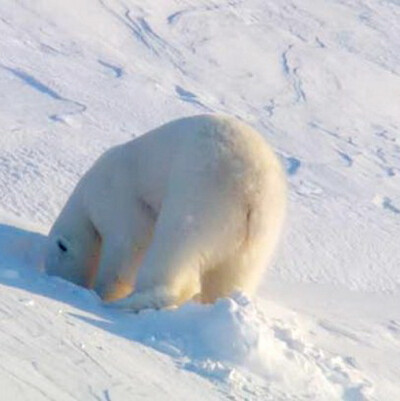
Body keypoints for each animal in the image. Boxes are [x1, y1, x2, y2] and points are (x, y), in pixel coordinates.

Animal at [45, 114, 286, 310]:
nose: (56, 280)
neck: (86, 196)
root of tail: (252, 192)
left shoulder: (118, 197)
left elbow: (129, 246)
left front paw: (102, 293)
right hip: (260, 236)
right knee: (234, 274)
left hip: (202, 196)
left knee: (174, 245)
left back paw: (137, 300)